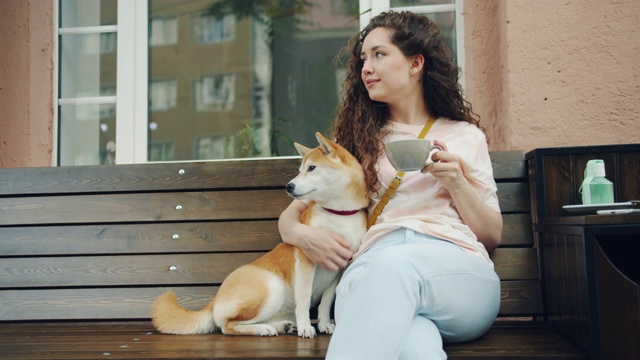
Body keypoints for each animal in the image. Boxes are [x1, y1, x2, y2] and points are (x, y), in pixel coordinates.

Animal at [151, 132, 370, 338]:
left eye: (311, 168)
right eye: (300, 170)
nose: (288, 186)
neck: (337, 214)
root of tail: (214, 299)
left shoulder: (339, 268)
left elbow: (325, 302)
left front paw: (324, 323)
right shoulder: (308, 259)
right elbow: (304, 300)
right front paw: (306, 327)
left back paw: (282, 326)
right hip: (273, 289)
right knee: (227, 326)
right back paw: (263, 329)